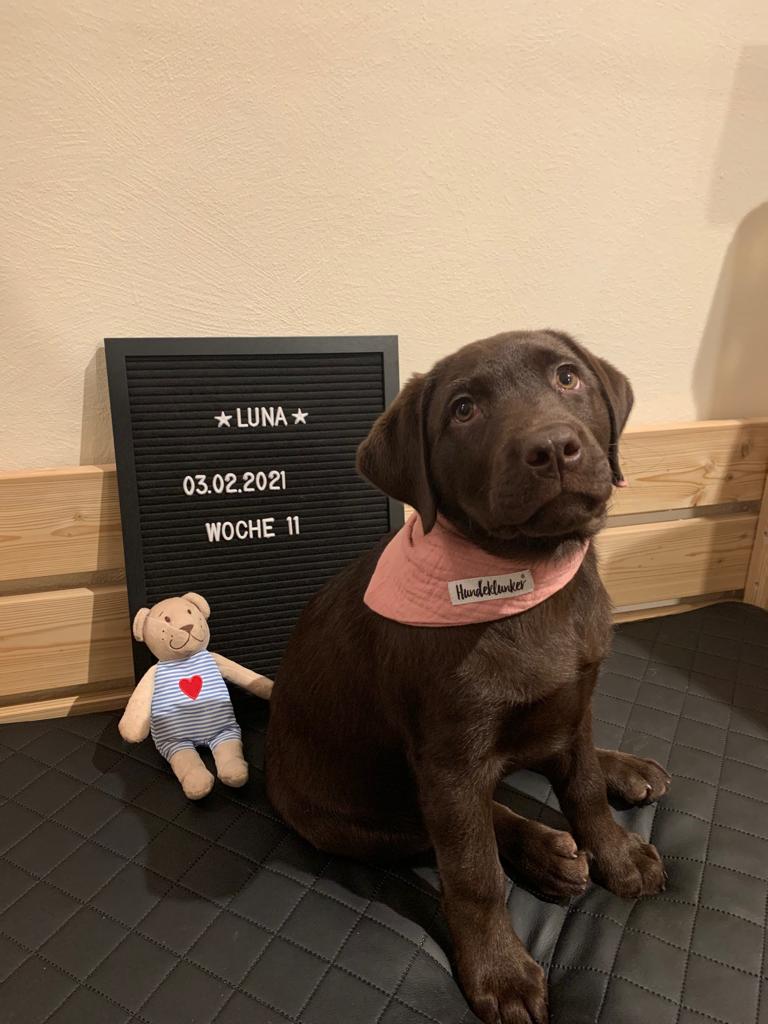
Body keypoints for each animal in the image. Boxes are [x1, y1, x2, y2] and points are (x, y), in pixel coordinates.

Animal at [266, 330, 669, 1024]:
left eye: (568, 378)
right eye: (463, 410)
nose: (553, 447)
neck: (529, 580)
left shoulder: (577, 699)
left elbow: (585, 789)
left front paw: (616, 854)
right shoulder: (450, 760)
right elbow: (474, 873)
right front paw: (501, 973)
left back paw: (625, 773)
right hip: (349, 820)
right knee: (449, 830)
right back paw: (545, 853)